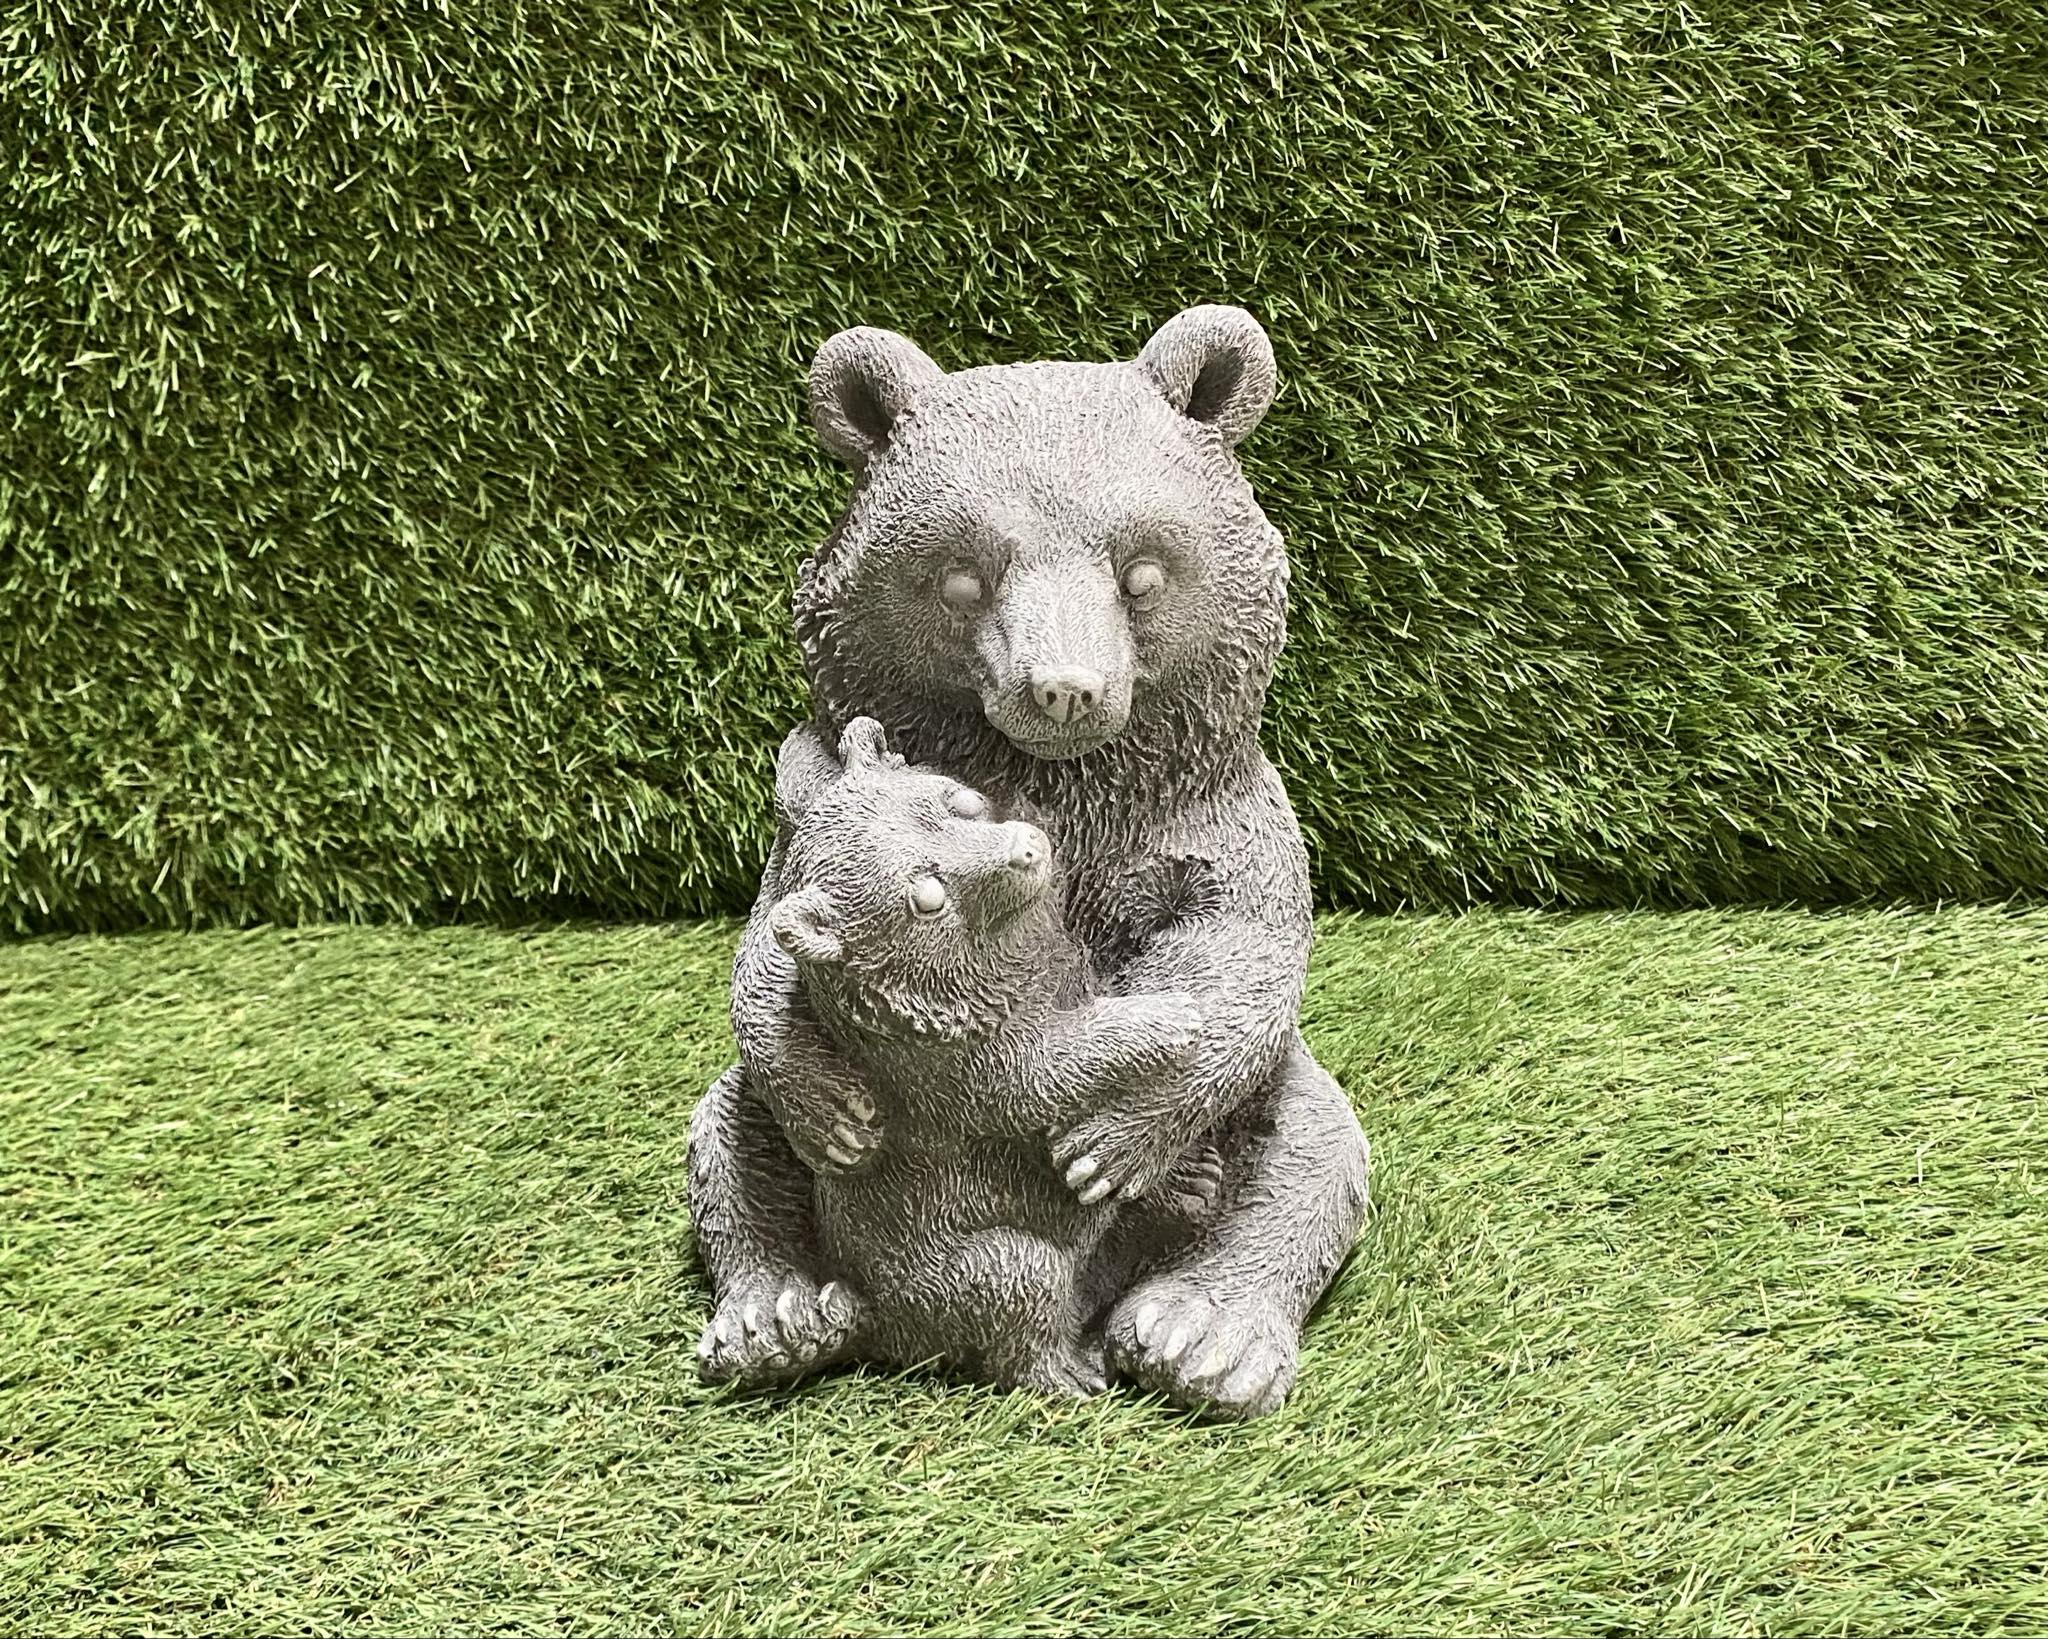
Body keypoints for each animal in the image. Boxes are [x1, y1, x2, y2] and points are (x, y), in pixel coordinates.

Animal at [694, 715, 1220, 1395]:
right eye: (927, 897)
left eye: (961, 801)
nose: (1027, 849)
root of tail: (880, 1322)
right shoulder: (956, 1074)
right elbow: (1046, 1070)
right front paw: (1171, 1015)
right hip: (983, 1268)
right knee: (1021, 1309)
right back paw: (1073, 1369)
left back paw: (1191, 1180)